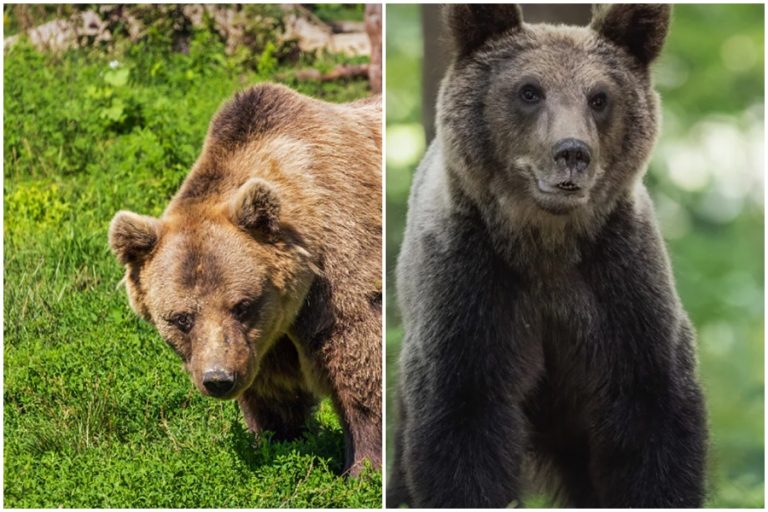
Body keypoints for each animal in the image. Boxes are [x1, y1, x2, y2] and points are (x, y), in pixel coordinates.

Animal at [108, 82, 384, 474]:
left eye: (242, 305)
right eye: (181, 318)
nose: (219, 379)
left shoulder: (340, 280)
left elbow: (360, 367)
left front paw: (362, 469)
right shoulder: (267, 340)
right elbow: (275, 392)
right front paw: (277, 441)